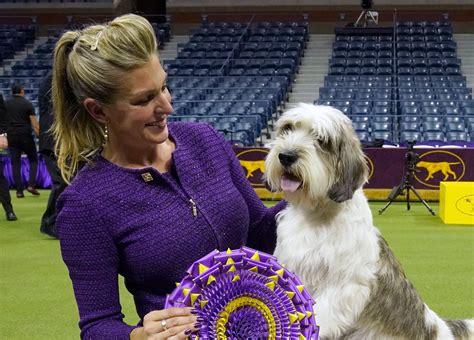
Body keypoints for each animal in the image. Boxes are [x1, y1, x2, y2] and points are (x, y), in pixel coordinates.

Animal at [264, 104, 472, 340]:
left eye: (322, 140)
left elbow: (319, 315)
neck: (315, 215)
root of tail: (444, 328)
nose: (286, 156)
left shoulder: (345, 285)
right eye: (288, 129)